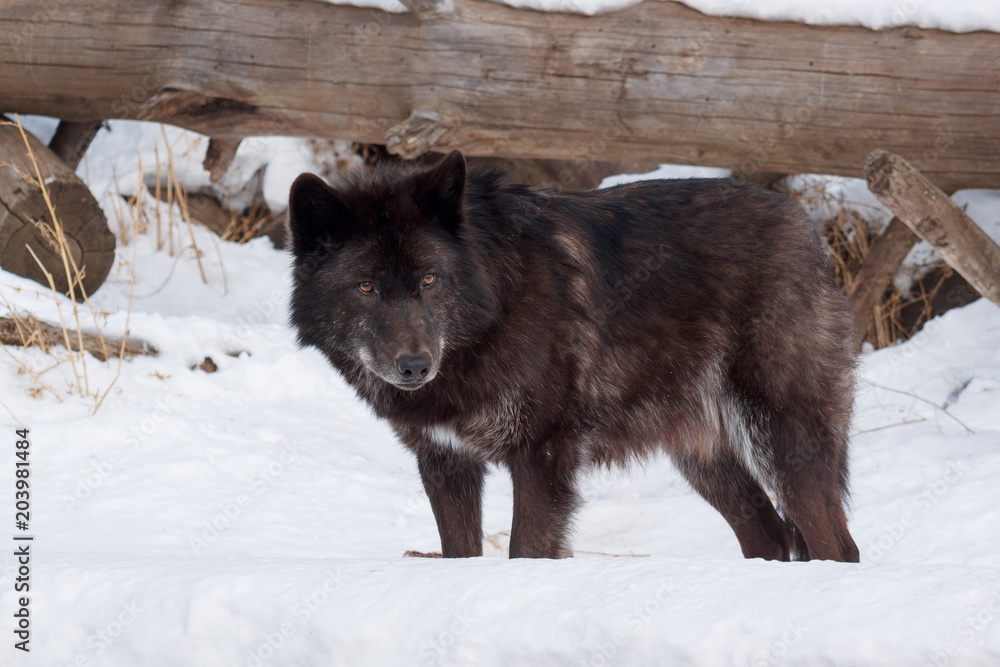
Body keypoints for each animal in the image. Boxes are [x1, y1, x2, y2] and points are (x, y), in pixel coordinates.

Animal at [287, 151, 860, 562]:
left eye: (428, 280)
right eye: (365, 287)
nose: (414, 367)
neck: (495, 304)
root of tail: (807, 230)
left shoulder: (542, 454)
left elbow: (527, 551)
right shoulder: (445, 462)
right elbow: (460, 554)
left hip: (782, 440)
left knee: (835, 545)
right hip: (704, 456)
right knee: (769, 537)